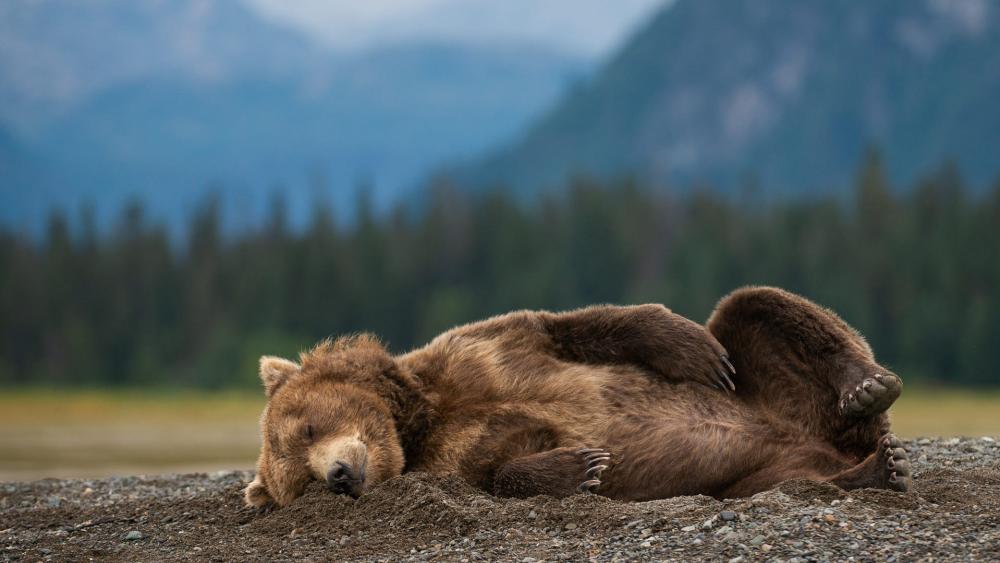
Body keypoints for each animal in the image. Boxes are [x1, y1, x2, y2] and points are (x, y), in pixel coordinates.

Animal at [245, 286, 910, 510]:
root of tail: (827, 441)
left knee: (753, 308)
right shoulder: (452, 458)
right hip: (755, 472)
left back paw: (867, 388)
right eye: (299, 483)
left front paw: (690, 348)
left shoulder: (485, 350)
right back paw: (878, 470)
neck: (421, 417)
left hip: (775, 387)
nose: (337, 476)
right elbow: (496, 472)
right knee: (788, 482)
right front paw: (583, 466)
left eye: (305, 428)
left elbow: (577, 325)